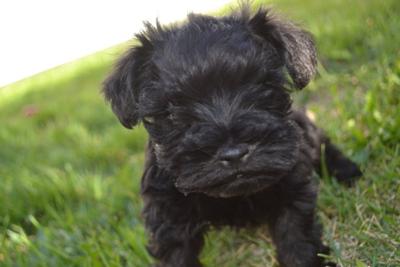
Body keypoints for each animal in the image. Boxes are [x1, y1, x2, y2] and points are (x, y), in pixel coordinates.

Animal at [103, 7, 362, 266]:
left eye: (263, 86)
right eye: (173, 109)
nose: (234, 153)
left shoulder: (292, 186)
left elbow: (297, 238)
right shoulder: (168, 214)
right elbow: (177, 253)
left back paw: (347, 171)